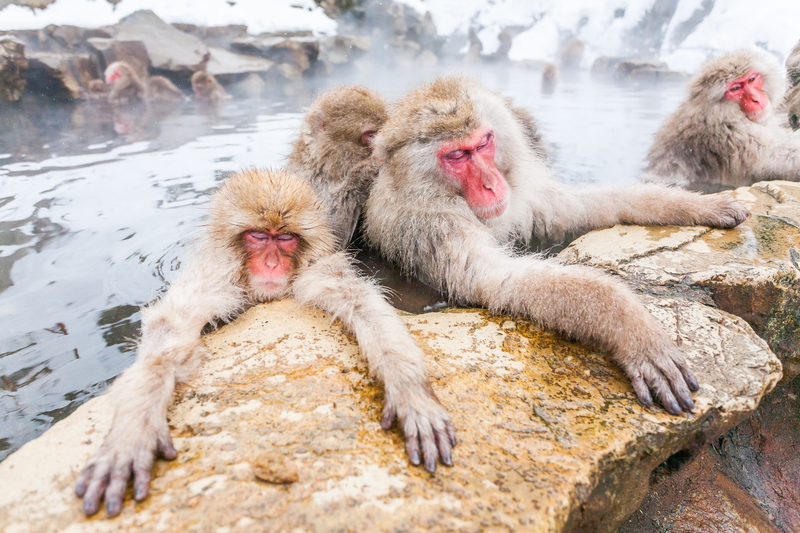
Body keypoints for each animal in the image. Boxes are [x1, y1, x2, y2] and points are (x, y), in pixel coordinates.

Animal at [78, 169, 460, 516]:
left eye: (286, 237)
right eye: (259, 236)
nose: (272, 263)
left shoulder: (314, 272)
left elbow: (363, 306)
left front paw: (409, 388)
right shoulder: (214, 279)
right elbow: (169, 336)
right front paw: (131, 431)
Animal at [362, 77, 752, 416]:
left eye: (484, 143)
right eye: (457, 155)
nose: (491, 184)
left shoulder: (521, 196)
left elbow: (574, 209)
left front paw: (700, 205)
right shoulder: (431, 226)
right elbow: (495, 279)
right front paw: (631, 328)